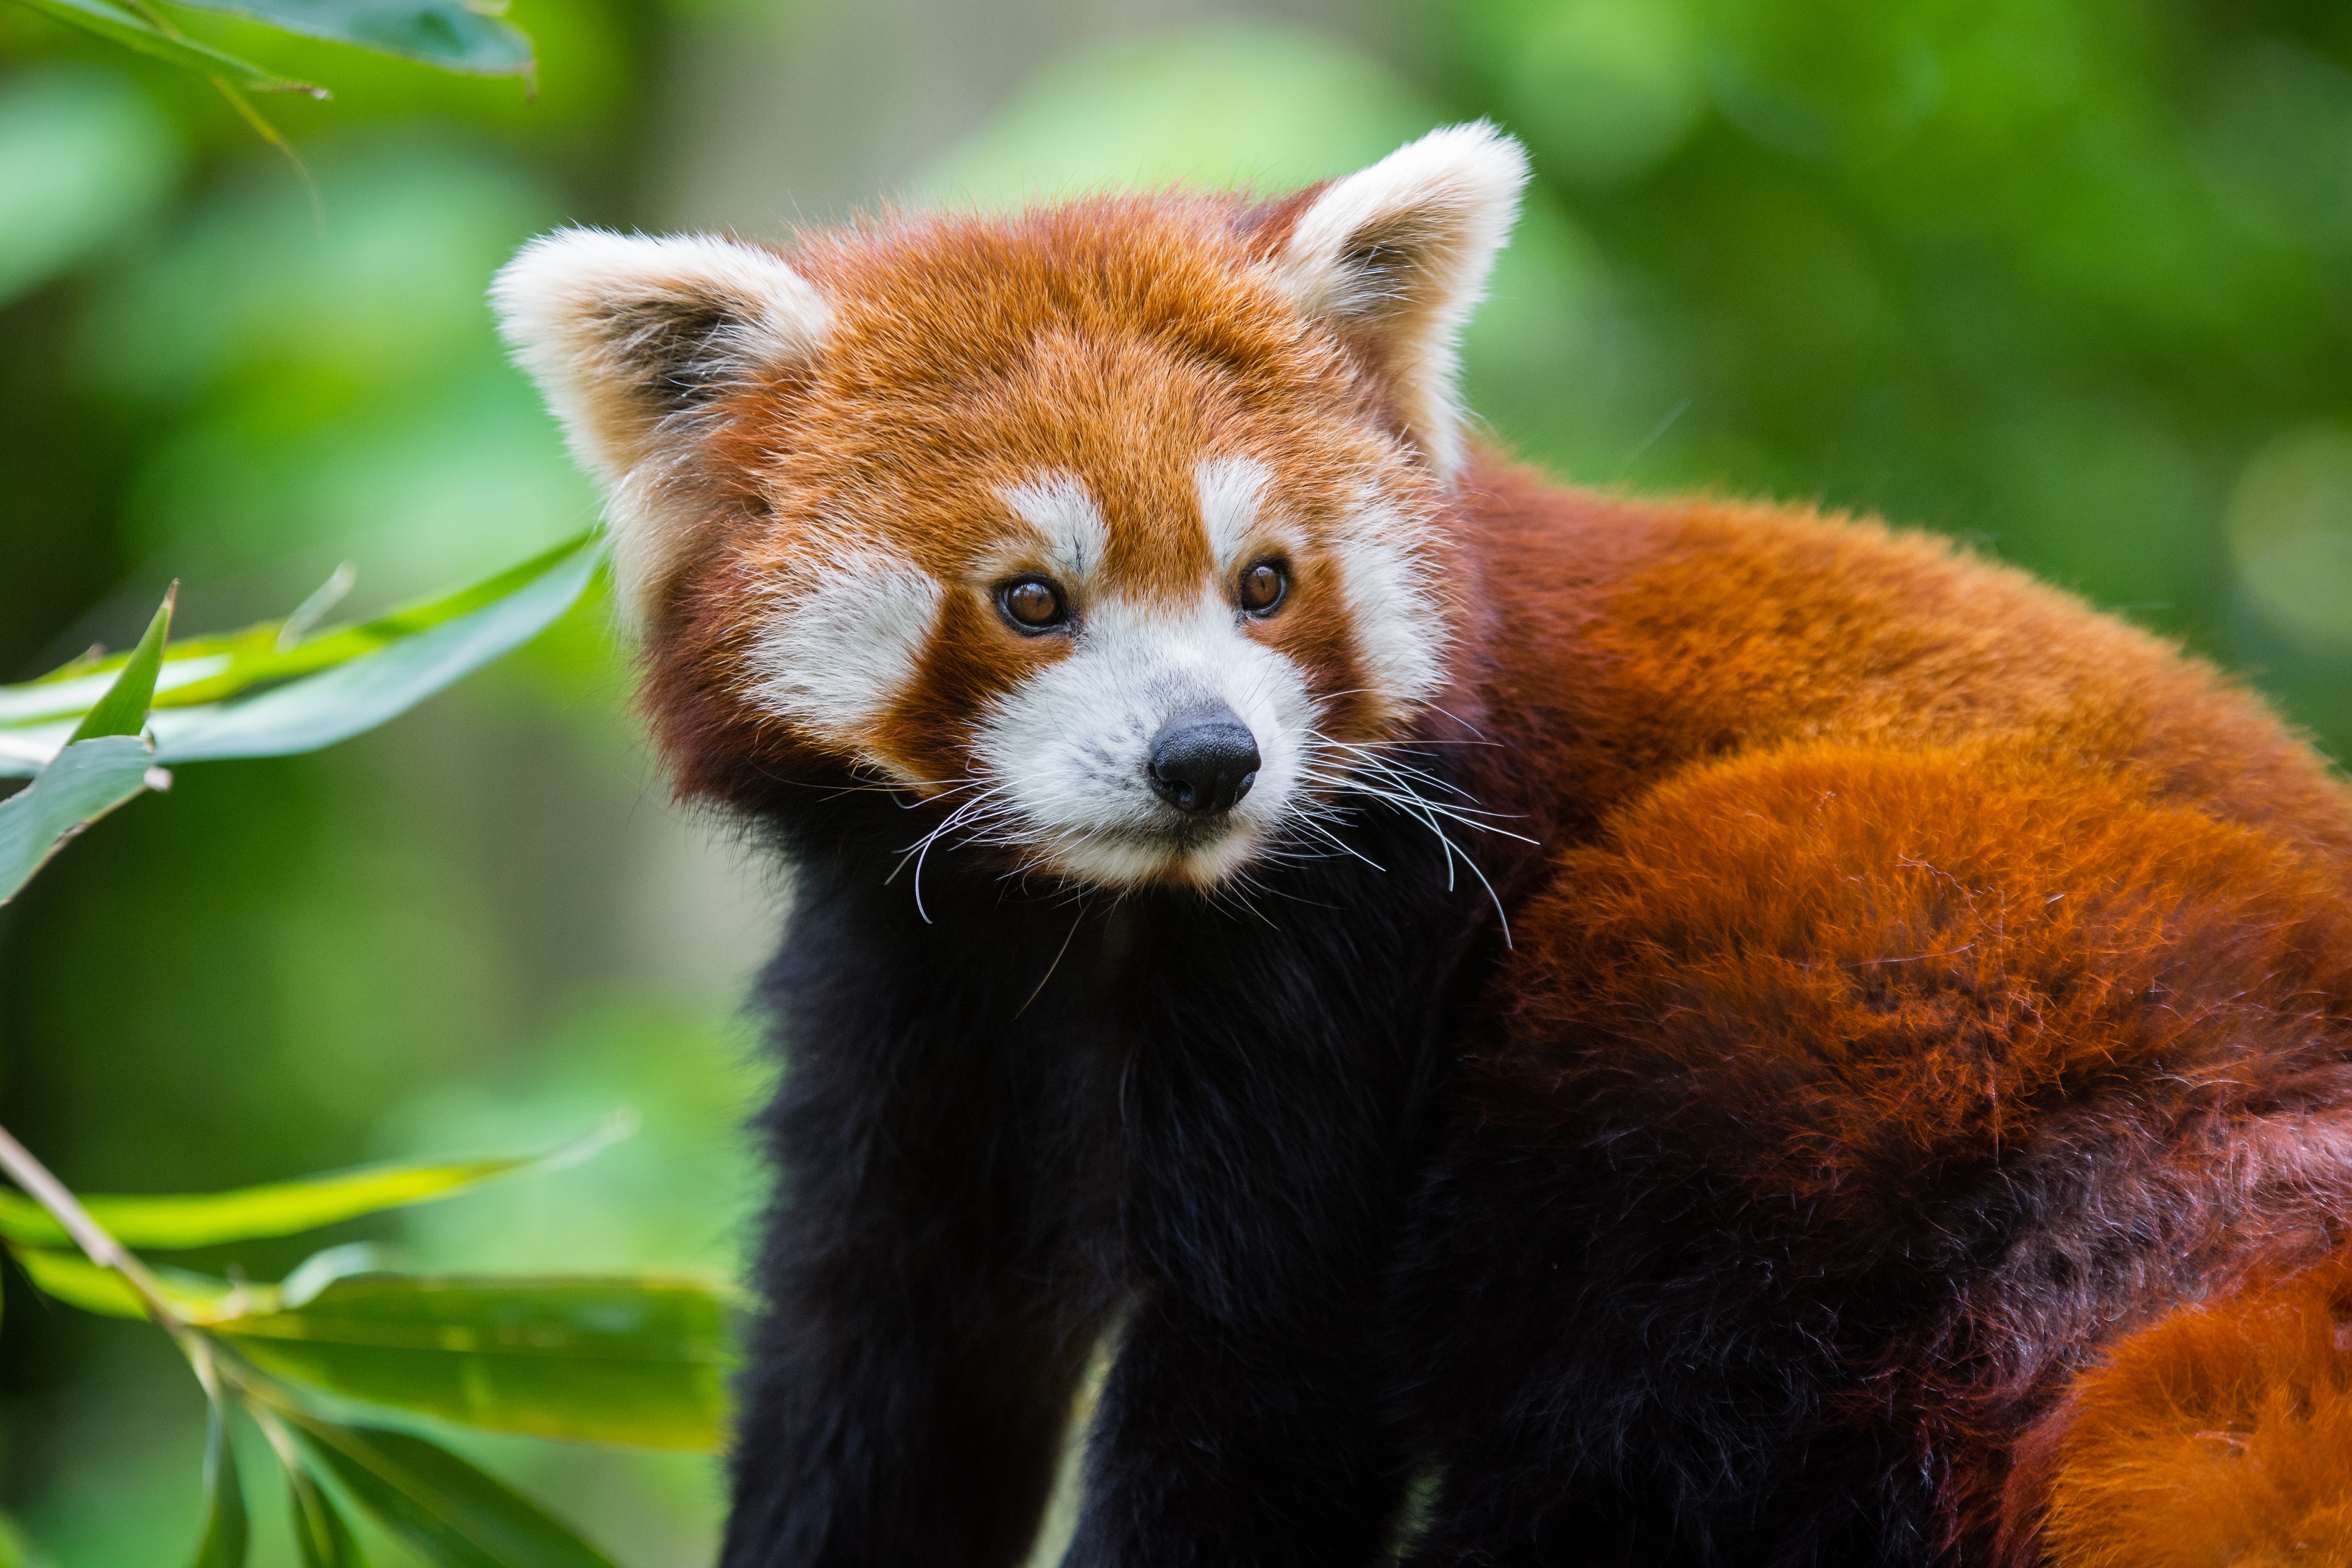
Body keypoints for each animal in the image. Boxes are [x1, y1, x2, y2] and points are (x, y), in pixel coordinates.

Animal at [492, 125, 2352, 1568]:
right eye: (1029, 599)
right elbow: (886, 1350)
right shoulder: (912, 965)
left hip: (1887, 961)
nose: (1208, 761)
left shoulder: (1350, 945)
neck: (1101, 917)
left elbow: (1264, 1382)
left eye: (1264, 581)